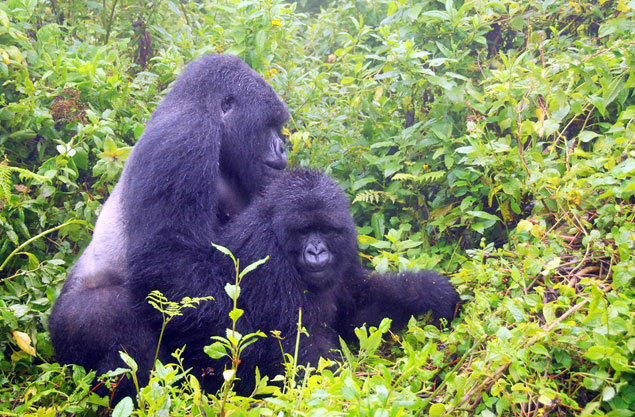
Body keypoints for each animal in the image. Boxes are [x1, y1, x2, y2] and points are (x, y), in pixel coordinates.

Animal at [49, 54, 290, 396]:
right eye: (269, 124)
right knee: (117, 318)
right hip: (67, 327)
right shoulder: (184, 137)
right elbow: (170, 261)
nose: (282, 147)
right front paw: (261, 357)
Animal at [146, 168, 462, 394]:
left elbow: (360, 313)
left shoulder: (346, 246)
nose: (316, 251)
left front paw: (427, 291)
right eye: (303, 231)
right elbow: (301, 347)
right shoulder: (266, 254)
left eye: (325, 229)